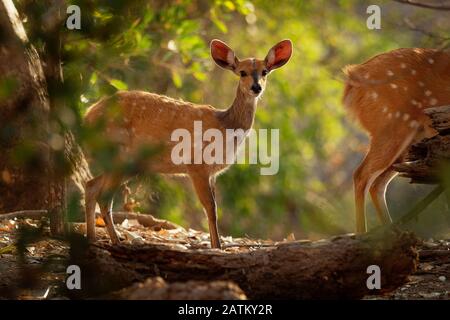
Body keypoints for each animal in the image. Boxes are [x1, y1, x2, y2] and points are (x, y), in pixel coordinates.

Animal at [84, 39, 294, 248]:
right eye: (242, 72)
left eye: (265, 71)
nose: (256, 87)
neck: (225, 125)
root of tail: (87, 115)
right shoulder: (196, 165)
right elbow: (210, 208)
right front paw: (217, 247)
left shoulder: (212, 172)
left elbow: (214, 208)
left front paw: (216, 245)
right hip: (118, 152)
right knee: (103, 196)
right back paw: (116, 241)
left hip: (129, 162)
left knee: (91, 185)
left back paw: (92, 237)